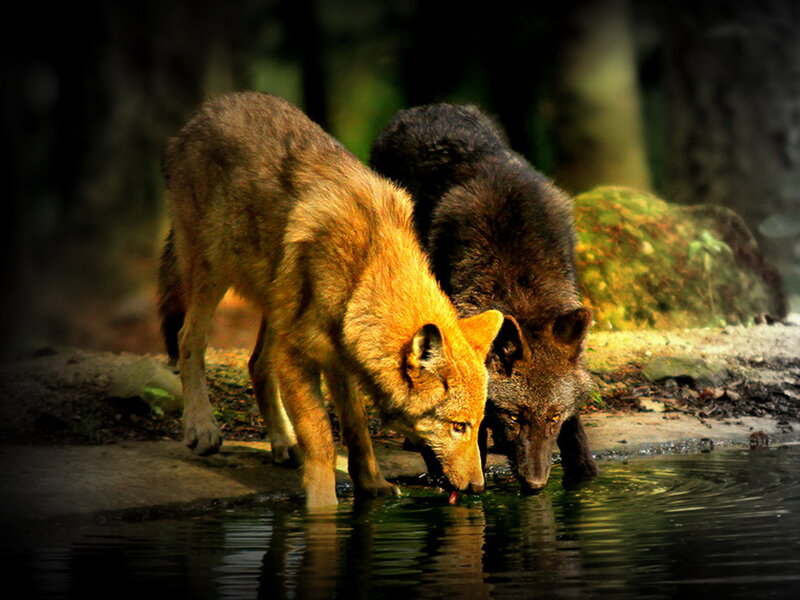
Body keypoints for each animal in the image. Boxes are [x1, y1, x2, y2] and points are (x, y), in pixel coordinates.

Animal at [157, 92, 503, 508]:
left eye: (479, 425)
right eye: (458, 426)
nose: (478, 488)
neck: (365, 270)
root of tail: (206, 110)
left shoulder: (340, 359)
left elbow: (356, 427)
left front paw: (372, 484)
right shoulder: (298, 356)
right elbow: (322, 438)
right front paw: (323, 509)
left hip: (275, 301)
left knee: (256, 363)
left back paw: (284, 443)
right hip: (213, 271)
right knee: (188, 340)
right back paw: (202, 427)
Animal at [370, 103, 598, 491]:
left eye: (553, 417)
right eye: (514, 416)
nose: (535, 483)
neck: (522, 284)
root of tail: (426, 108)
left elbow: (577, 436)